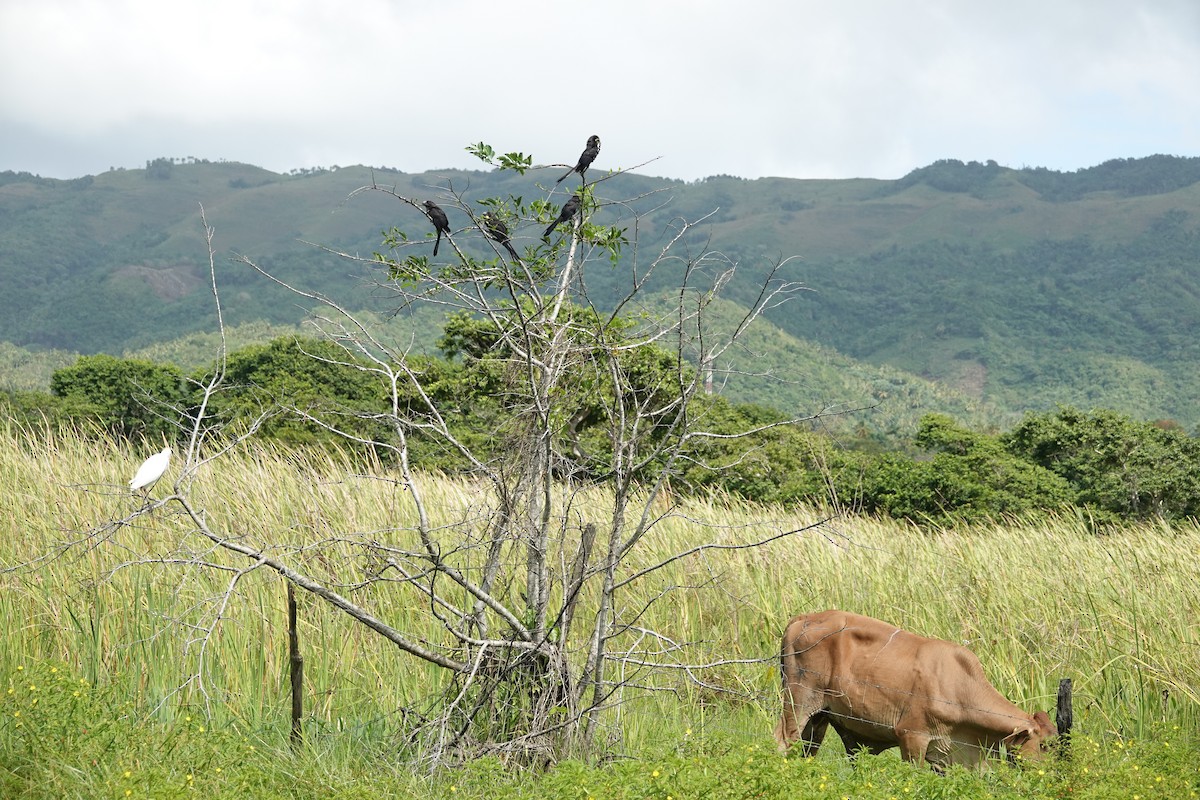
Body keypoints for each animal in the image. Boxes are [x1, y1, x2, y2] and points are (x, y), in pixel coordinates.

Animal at [772, 614, 1056, 767]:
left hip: (820, 717)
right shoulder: (912, 736)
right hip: (798, 702)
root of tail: (802, 619)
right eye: (1044, 746)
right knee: (782, 740)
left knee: (807, 749)